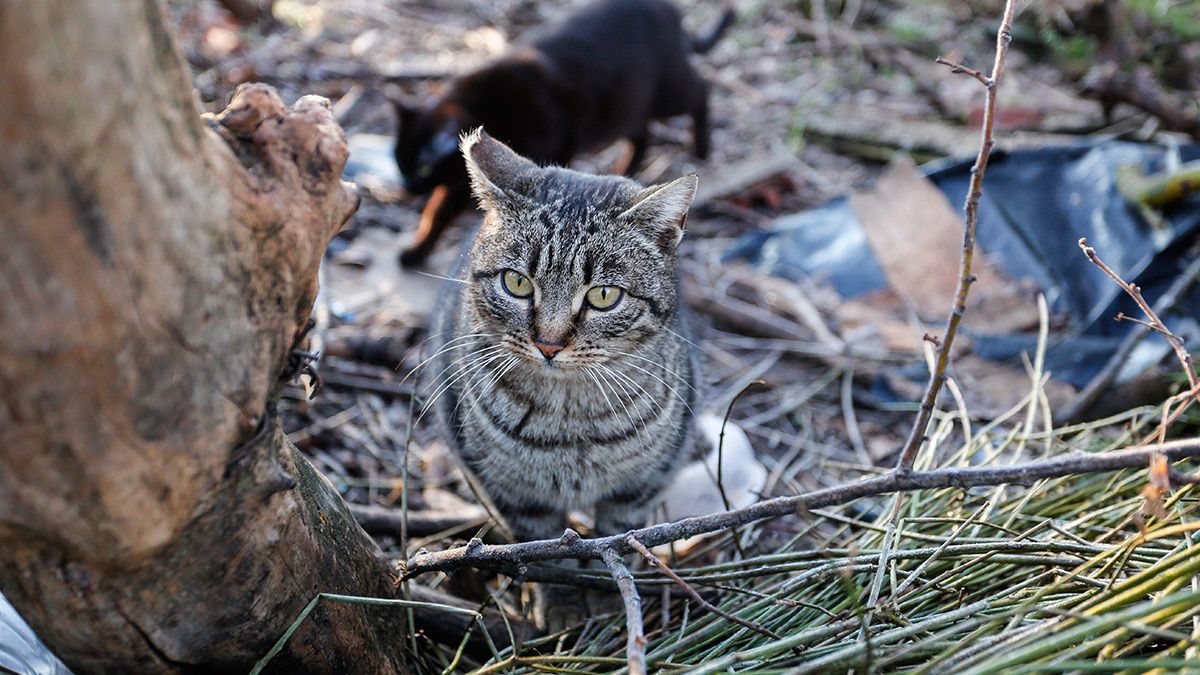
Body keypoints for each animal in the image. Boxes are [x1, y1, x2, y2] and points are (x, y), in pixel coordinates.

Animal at [393, 0, 729, 265]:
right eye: (399, 163)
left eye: (422, 168)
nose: (406, 188)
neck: (488, 106)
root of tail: (669, 10)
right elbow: (438, 212)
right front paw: (416, 250)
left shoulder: (555, 145)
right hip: (627, 107)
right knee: (642, 136)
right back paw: (626, 170)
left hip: (668, 93)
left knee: (701, 91)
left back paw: (702, 148)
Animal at [427, 130, 700, 624]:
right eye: (517, 283)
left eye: (604, 295)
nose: (549, 344)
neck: (570, 418)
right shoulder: (516, 495)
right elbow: (543, 551)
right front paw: (561, 604)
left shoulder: (639, 488)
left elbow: (622, 537)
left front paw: (609, 598)